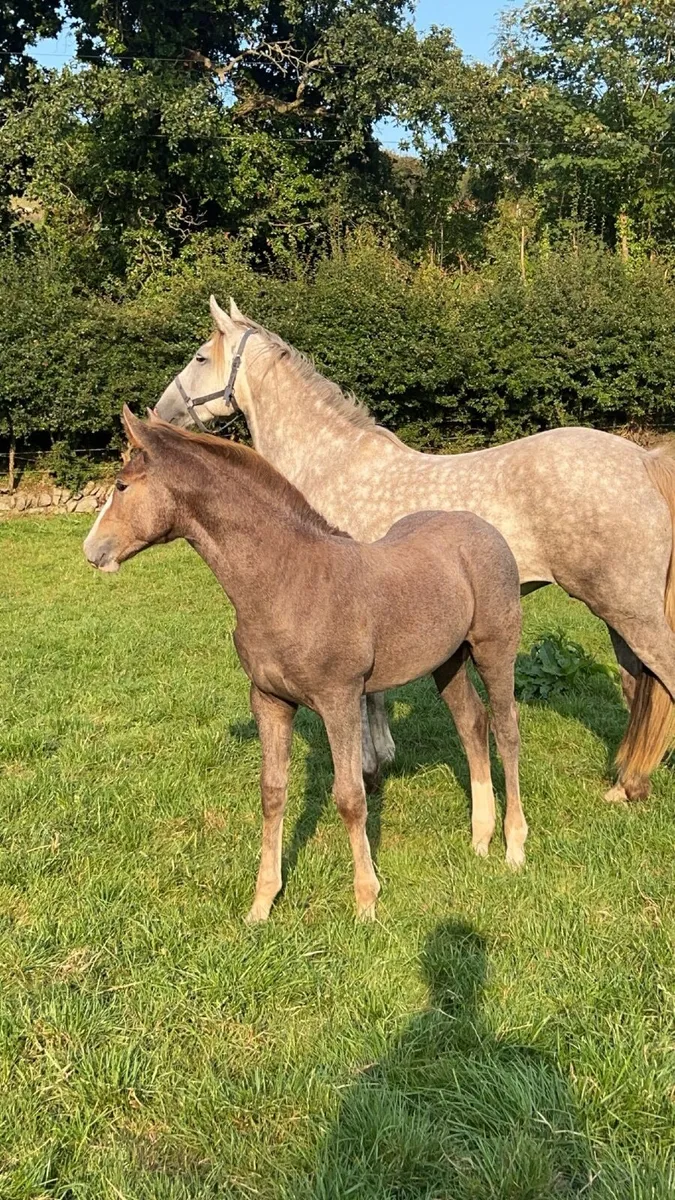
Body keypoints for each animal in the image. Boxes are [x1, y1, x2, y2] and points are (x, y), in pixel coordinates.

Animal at [83, 407, 526, 921]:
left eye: (122, 485)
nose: (91, 551)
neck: (286, 579)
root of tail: (485, 529)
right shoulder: (269, 700)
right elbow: (272, 792)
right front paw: (262, 902)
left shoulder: (340, 699)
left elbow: (350, 797)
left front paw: (365, 901)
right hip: (448, 661)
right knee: (471, 724)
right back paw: (480, 837)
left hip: (494, 649)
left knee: (505, 730)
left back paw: (514, 845)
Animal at [153, 296, 675, 805]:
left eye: (200, 357)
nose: (160, 413)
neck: (331, 462)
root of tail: (642, 459)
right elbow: (375, 695)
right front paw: (383, 755)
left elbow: (364, 702)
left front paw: (368, 767)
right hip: (616, 614)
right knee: (637, 685)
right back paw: (629, 785)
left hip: (629, 608)